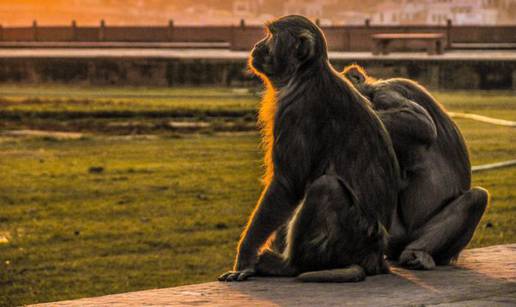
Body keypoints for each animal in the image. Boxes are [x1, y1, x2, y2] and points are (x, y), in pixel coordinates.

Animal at [217, 15, 400, 284]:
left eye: (271, 36)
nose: (258, 45)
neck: (303, 75)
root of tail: (374, 258)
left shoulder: (296, 113)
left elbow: (287, 185)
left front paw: (246, 257)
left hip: (350, 237)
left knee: (326, 188)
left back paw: (287, 266)